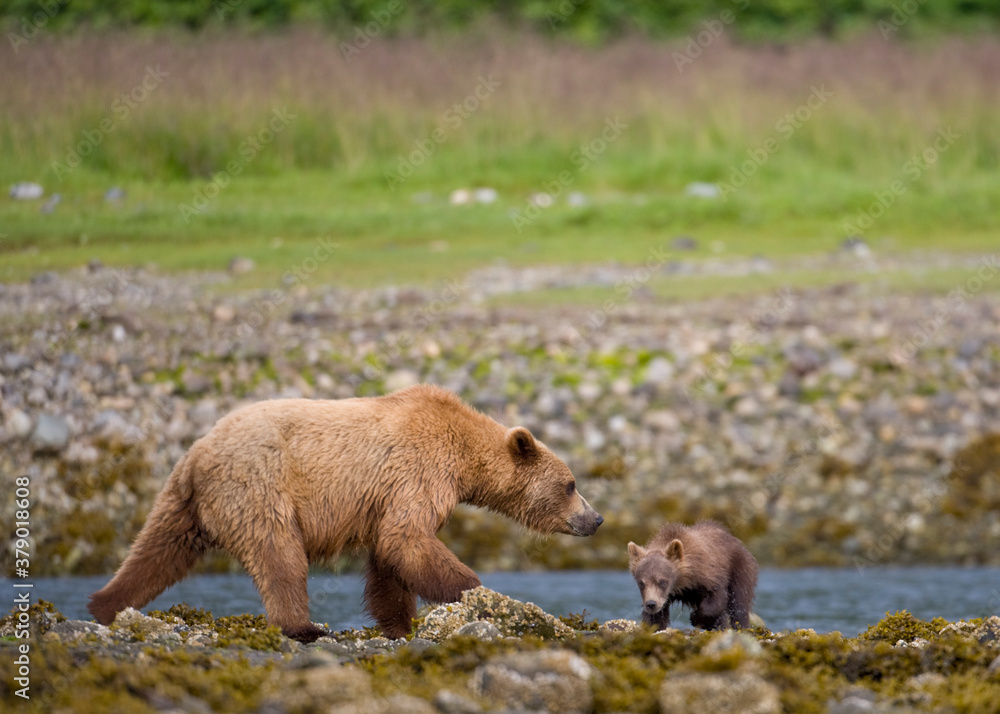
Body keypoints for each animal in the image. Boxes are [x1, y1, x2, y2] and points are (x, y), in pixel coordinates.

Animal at [88, 384, 603, 642]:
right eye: (571, 484)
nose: (596, 519)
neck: (464, 457)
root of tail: (197, 452)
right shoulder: (419, 470)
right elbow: (408, 539)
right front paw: (480, 594)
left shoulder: (388, 495)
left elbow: (390, 559)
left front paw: (398, 625)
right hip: (260, 487)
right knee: (279, 556)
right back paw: (303, 626)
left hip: (186, 500)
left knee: (157, 550)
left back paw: (105, 605)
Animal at [627, 520, 757, 631]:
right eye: (641, 583)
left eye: (662, 581)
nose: (651, 604)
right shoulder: (665, 597)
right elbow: (656, 617)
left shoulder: (710, 576)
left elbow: (718, 599)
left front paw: (696, 618)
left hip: (740, 567)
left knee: (739, 602)